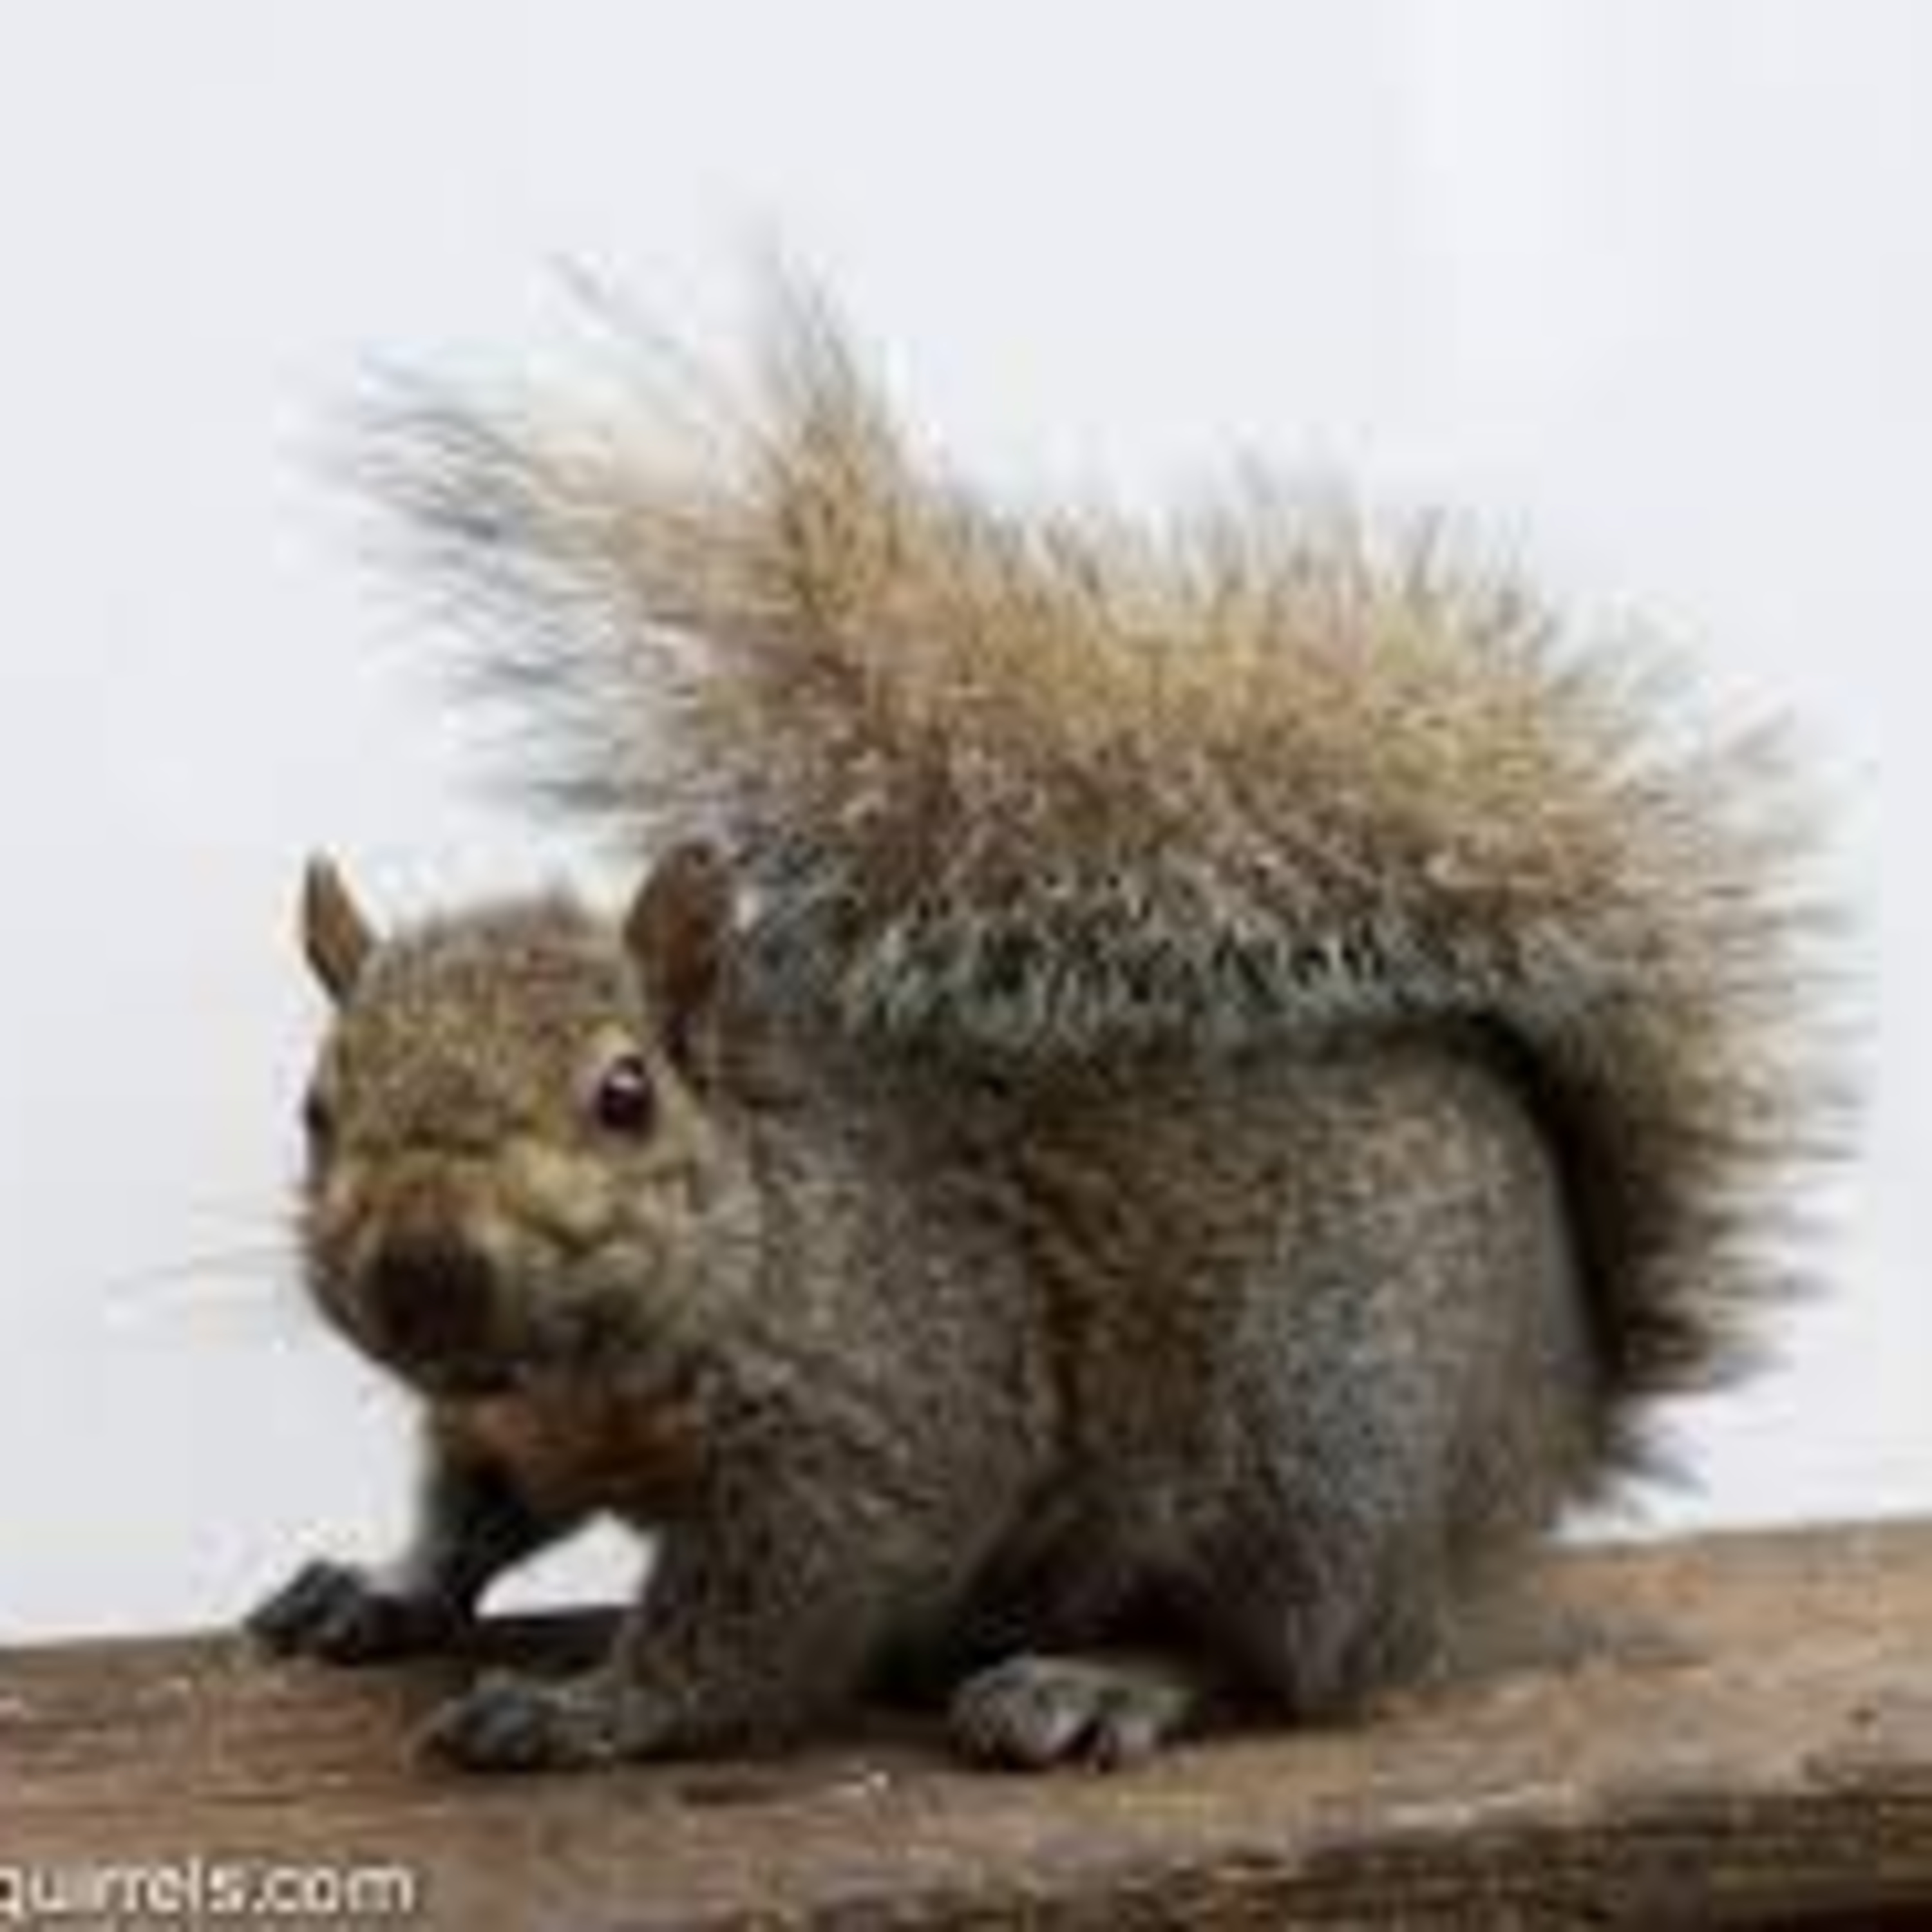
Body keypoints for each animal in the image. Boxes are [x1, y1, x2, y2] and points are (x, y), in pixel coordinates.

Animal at [247, 284, 1840, 1774]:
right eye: (316, 1110)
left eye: (625, 1096)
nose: (422, 1267)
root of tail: (1560, 1425)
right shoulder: (503, 1431)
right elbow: (469, 1519)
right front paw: (381, 1591)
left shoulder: (881, 1423)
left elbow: (753, 1632)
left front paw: (587, 1711)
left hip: (1322, 1456)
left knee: (1286, 1664)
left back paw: (1096, 1682)